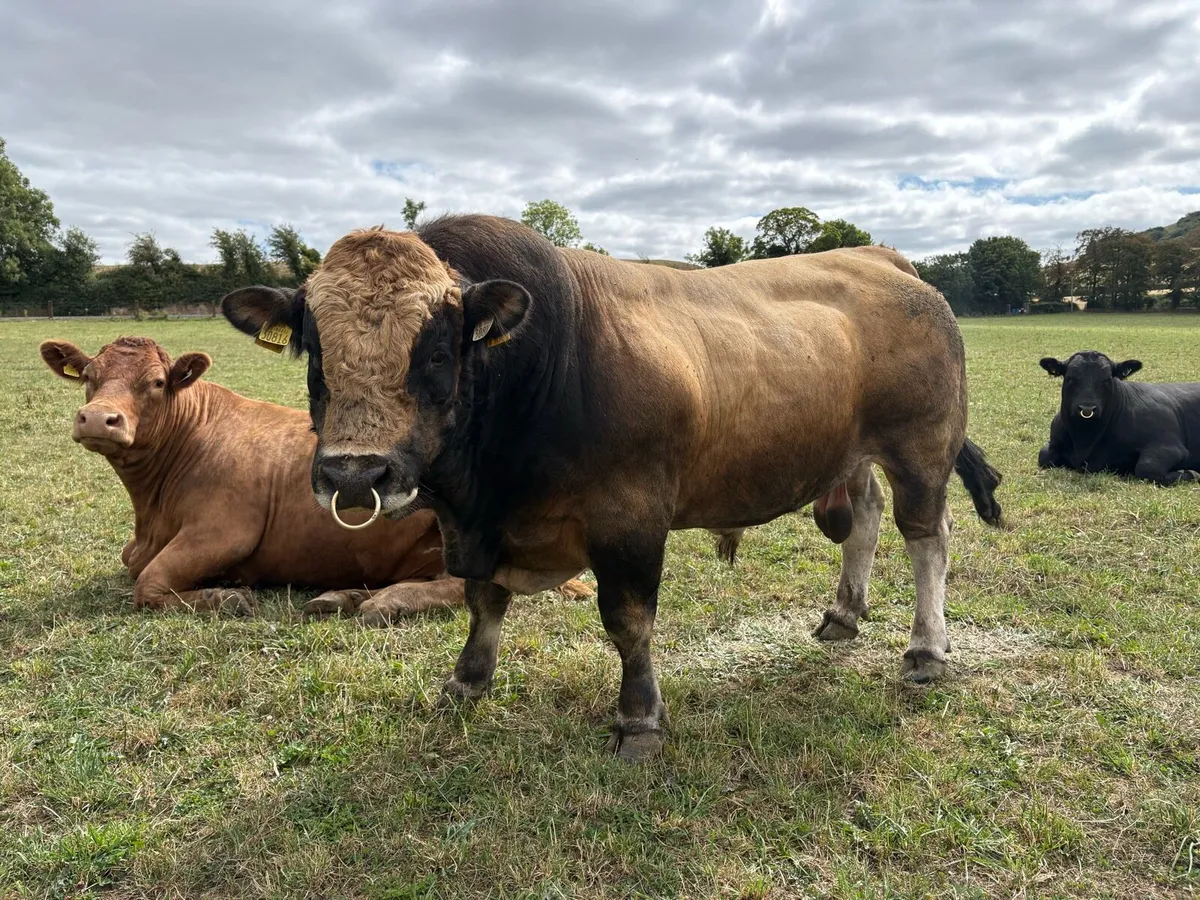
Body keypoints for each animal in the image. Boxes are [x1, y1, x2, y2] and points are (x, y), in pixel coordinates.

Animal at [39, 336, 591, 619]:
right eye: (89, 377)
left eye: (155, 382)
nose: (99, 419)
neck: (151, 512)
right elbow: (136, 568)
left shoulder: (223, 530)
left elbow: (148, 583)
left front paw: (224, 596)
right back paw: (341, 596)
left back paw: (378, 602)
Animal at [221, 214, 1003, 761]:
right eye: (313, 350)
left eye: (438, 351)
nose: (356, 473)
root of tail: (880, 256)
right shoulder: (472, 528)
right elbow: (483, 600)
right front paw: (467, 681)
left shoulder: (629, 518)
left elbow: (628, 622)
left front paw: (639, 719)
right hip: (850, 452)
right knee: (865, 519)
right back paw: (842, 615)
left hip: (920, 448)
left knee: (927, 538)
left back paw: (926, 650)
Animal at [1038, 350, 1200, 484]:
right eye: (1070, 378)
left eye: (1107, 379)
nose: (1087, 409)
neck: (1084, 440)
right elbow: (1043, 457)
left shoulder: (1169, 445)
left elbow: (1147, 468)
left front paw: (1191, 473)